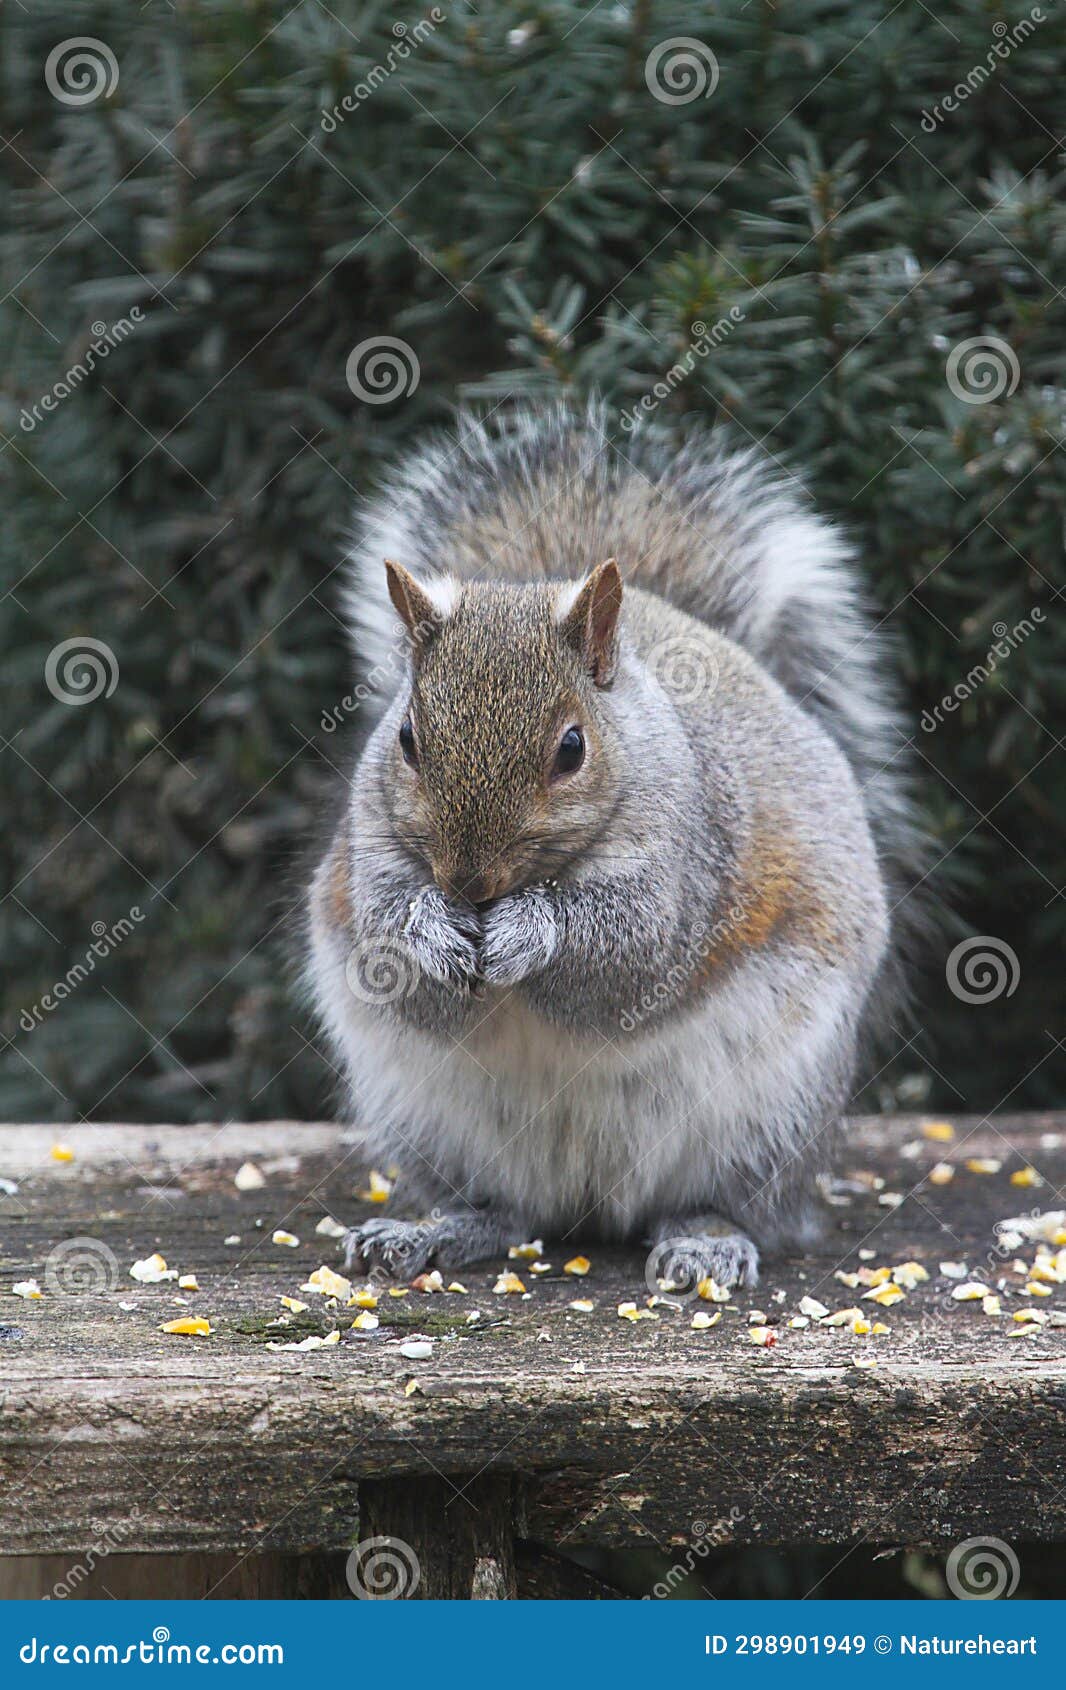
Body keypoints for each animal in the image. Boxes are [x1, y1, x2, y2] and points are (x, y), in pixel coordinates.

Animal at [307, 404, 918, 1289]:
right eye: (408, 739)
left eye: (572, 749)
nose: (468, 882)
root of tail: (590, 1202)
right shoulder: (372, 854)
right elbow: (394, 960)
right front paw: (430, 928)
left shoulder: (690, 868)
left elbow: (628, 958)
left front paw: (531, 931)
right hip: (423, 1118)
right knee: (502, 1208)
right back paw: (433, 1230)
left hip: (770, 1117)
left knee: (734, 1200)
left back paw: (707, 1238)